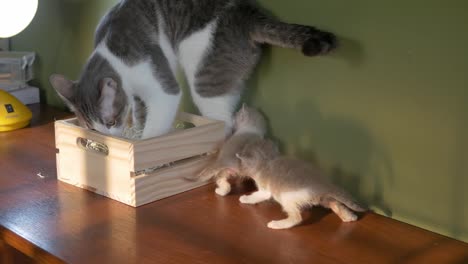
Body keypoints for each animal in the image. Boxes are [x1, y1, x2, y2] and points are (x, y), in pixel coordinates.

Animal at [48, 0, 336, 139]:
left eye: (110, 121)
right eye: (94, 129)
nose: (109, 137)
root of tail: (250, 14)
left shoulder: (162, 86)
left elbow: (155, 128)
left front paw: (143, 145)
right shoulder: (138, 96)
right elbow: (141, 114)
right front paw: (137, 131)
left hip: (204, 78)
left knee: (226, 124)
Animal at [238, 140, 366, 229]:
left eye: (241, 164)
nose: (239, 169)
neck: (268, 160)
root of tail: (324, 184)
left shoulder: (265, 190)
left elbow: (258, 195)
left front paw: (246, 198)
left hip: (286, 196)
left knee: (296, 218)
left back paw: (277, 224)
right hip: (321, 198)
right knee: (334, 202)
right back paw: (349, 217)